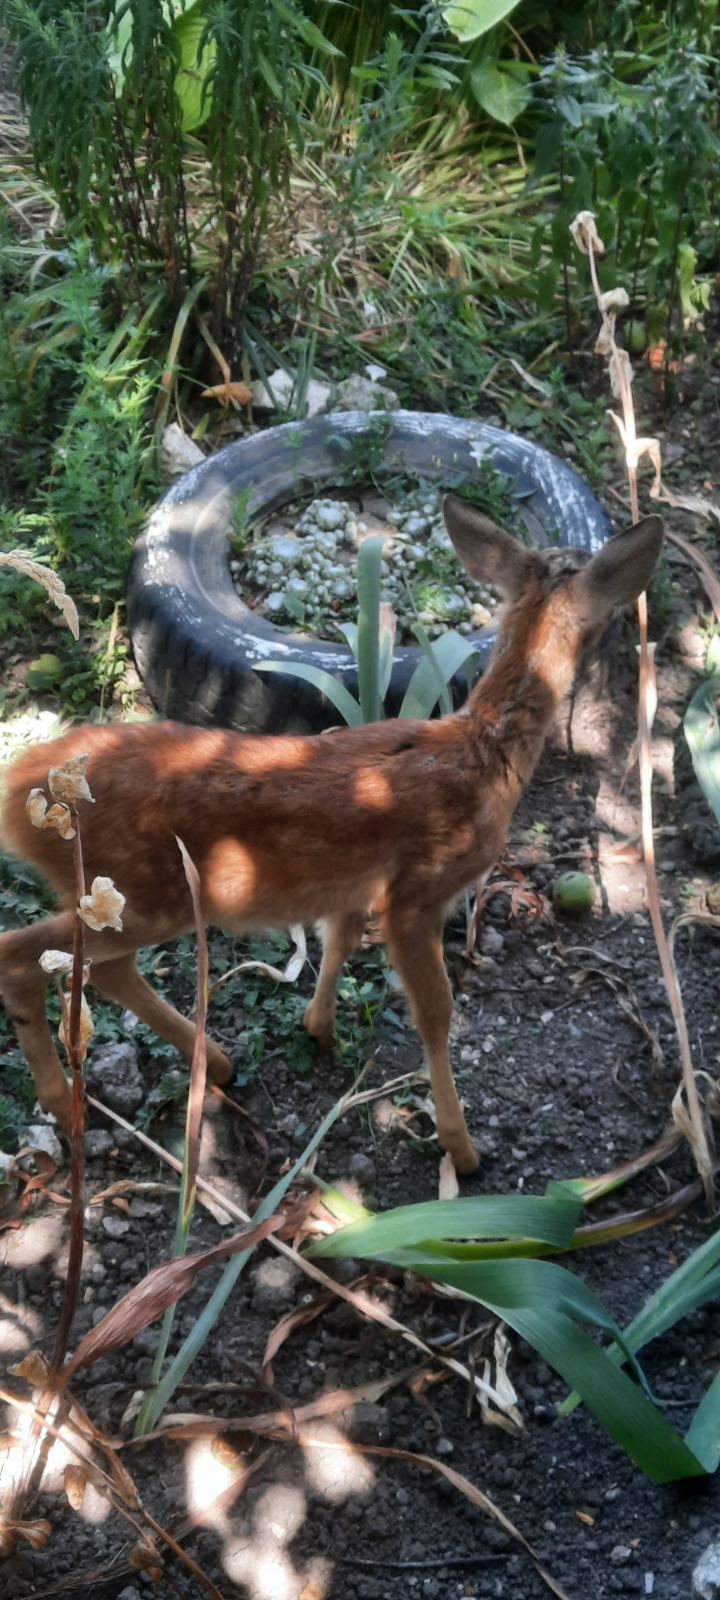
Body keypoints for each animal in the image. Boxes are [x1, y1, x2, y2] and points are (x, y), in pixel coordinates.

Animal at [0, 492, 662, 1171]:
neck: (480, 755)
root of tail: (19, 792)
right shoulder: (417, 893)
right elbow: (436, 1011)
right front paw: (461, 1147)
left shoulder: (357, 886)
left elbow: (338, 942)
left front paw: (320, 1028)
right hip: (136, 892)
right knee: (22, 955)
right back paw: (66, 1101)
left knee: (99, 969)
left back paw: (214, 1062)